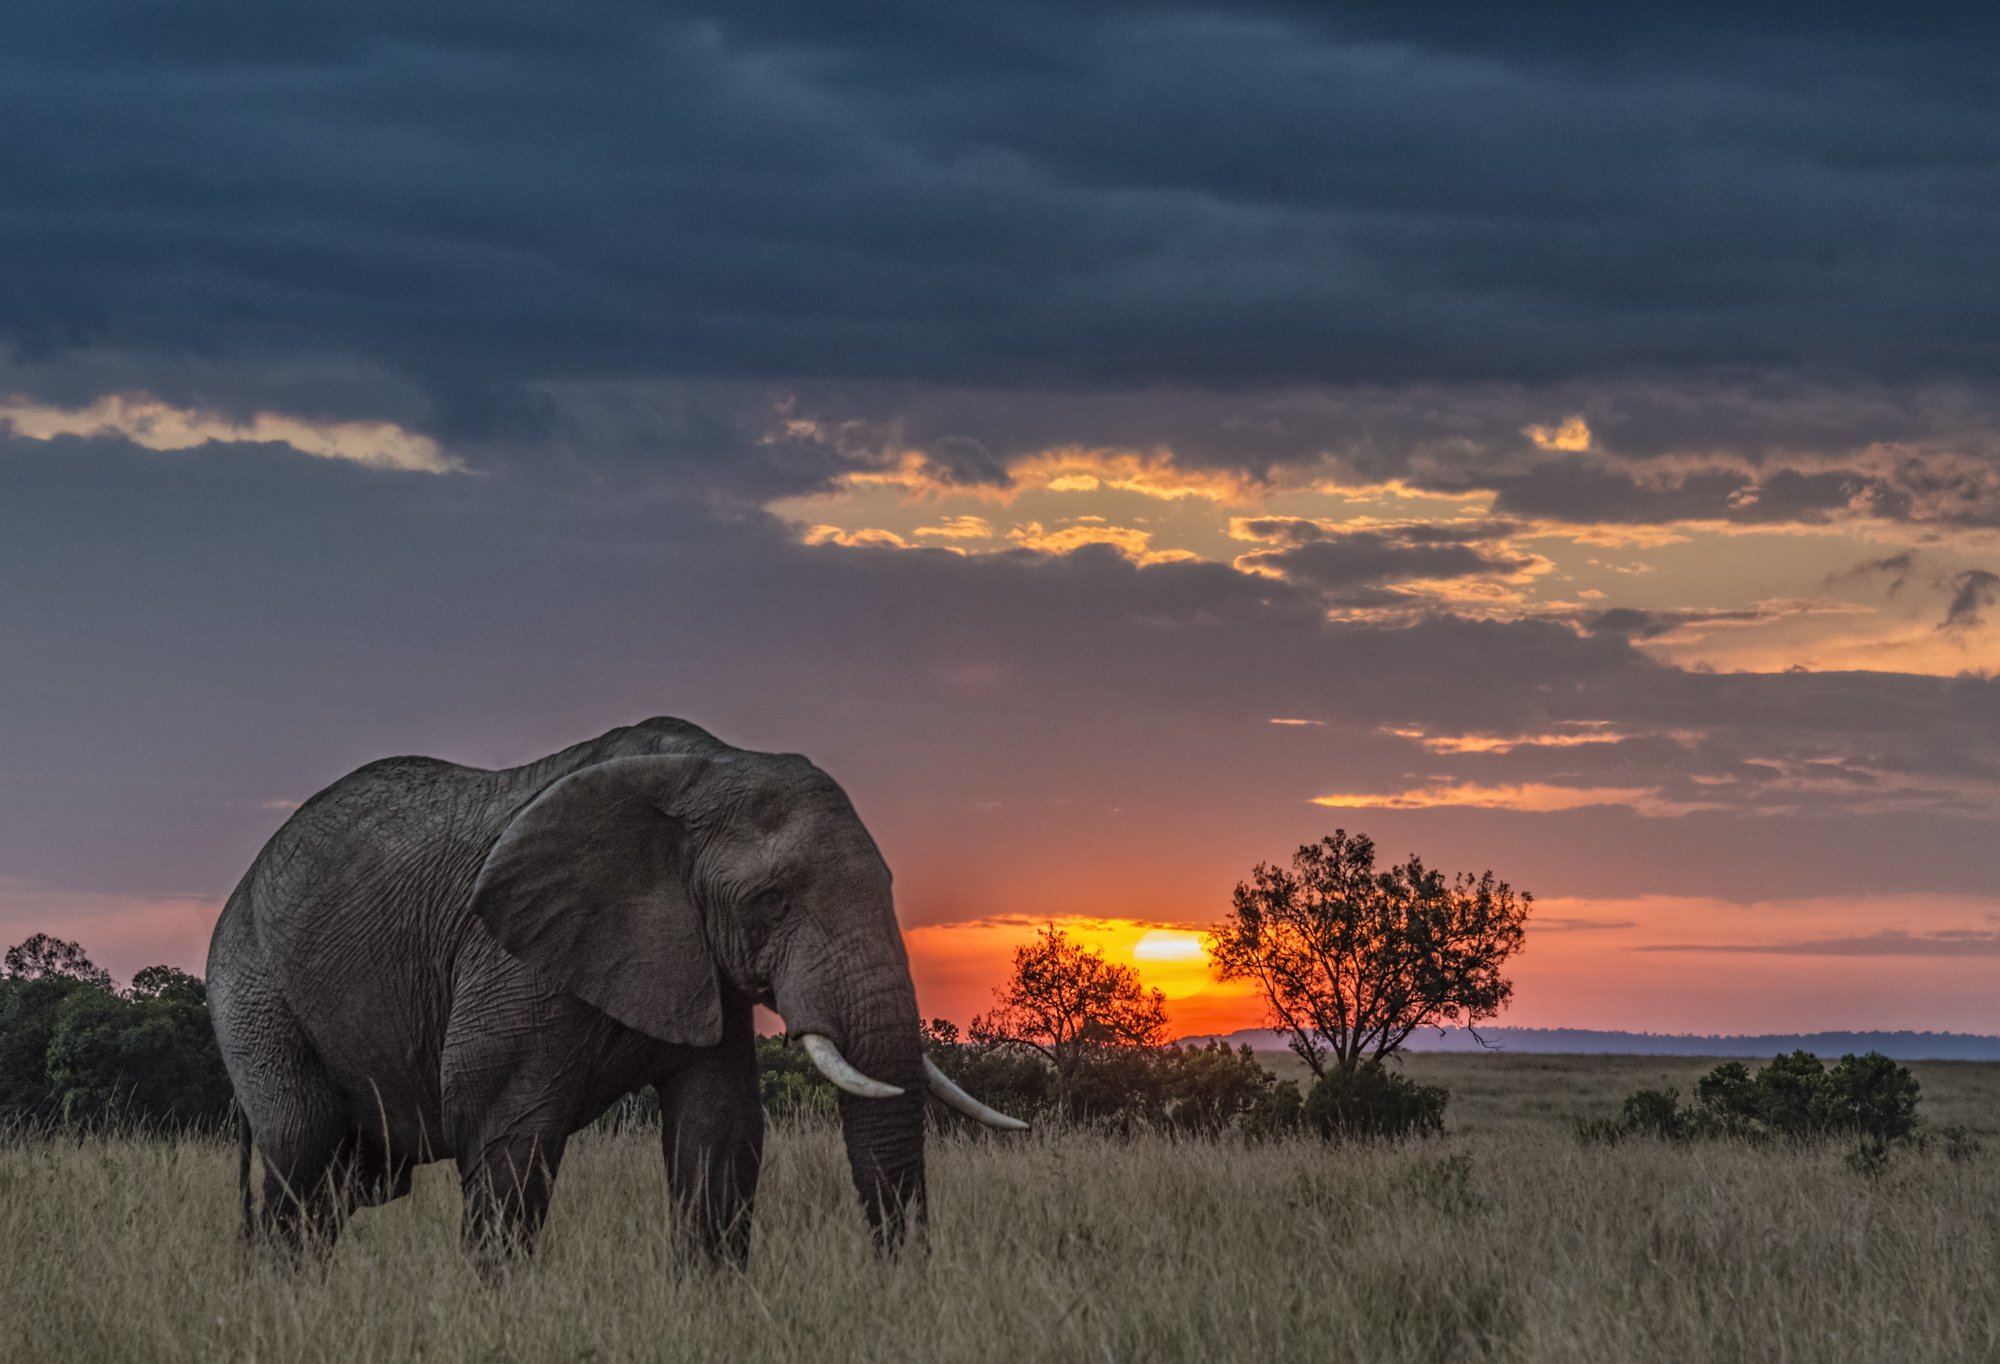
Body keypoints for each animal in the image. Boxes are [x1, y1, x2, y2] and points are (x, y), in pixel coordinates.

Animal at [206, 717, 1023, 1265]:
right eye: (772, 900)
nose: (894, 1281)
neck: (707, 768)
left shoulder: (696, 961)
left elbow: (719, 1132)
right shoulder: (513, 956)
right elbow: (506, 1132)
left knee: (343, 1185)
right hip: (251, 988)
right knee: (301, 1149)